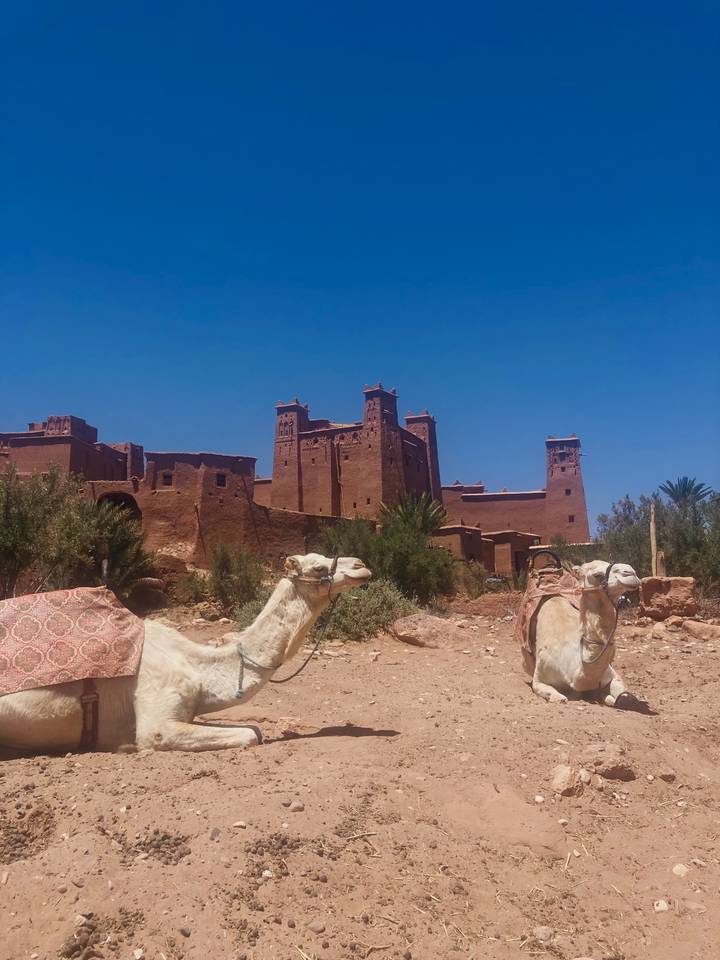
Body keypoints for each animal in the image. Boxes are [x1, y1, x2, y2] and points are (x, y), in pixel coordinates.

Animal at [0, 553, 371, 754]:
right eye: (319, 567)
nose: (361, 565)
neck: (196, 665)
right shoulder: (156, 714)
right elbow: (251, 733)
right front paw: (126, 745)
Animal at [524, 559, 641, 706]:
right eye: (597, 575)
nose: (631, 572)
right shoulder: (539, 678)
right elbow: (557, 696)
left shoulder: (611, 674)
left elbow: (620, 693)